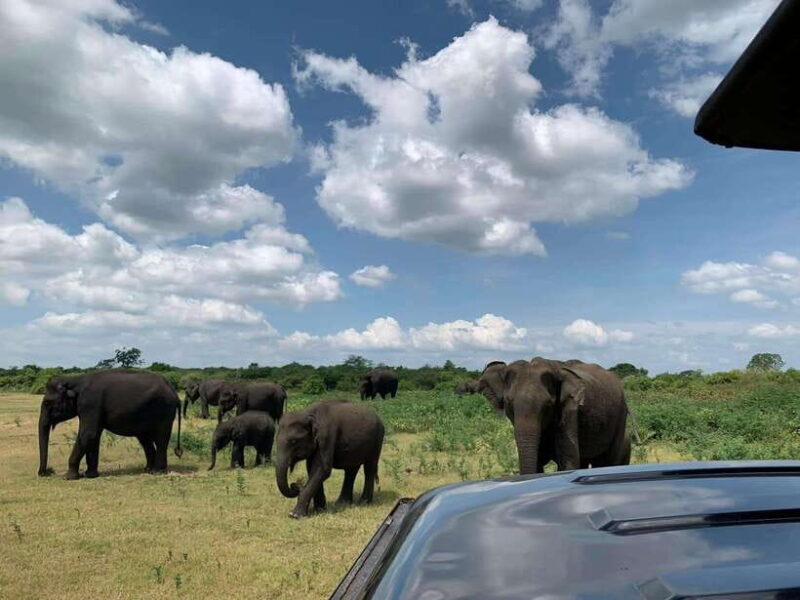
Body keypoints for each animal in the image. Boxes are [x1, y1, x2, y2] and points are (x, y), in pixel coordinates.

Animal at [38, 370, 182, 479]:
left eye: (47, 403)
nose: (45, 473)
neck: (74, 380)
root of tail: (174, 391)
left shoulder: (90, 403)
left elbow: (88, 434)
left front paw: (69, 478)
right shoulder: (94, 408)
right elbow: (94, 436)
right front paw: (90, 475)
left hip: (165, 410)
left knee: (161, 438)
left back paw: (157, 471)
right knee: (145, 439)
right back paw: (148, 469)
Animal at [477, 357, 631, 475]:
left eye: (548, 404)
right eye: (509, 403)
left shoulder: (568, 410)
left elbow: (568, 460)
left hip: (620, 414)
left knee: (609, 460)